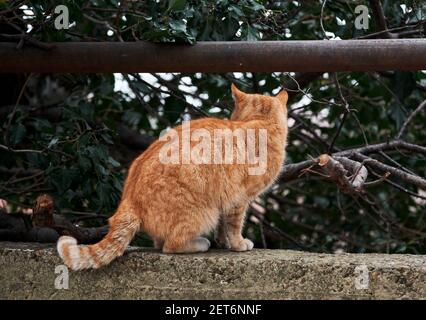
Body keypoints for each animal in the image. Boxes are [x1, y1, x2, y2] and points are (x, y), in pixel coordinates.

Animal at [57, 84, 290, 268]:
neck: (260, 122)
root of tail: (129, 199)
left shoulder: (228, 200)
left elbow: (224, 227)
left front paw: (224, 242)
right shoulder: (239, 200)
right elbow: (234, 226)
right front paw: (238, 244)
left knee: (161, 243)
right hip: (203, 213)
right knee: (170, 245)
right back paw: (200, 243)